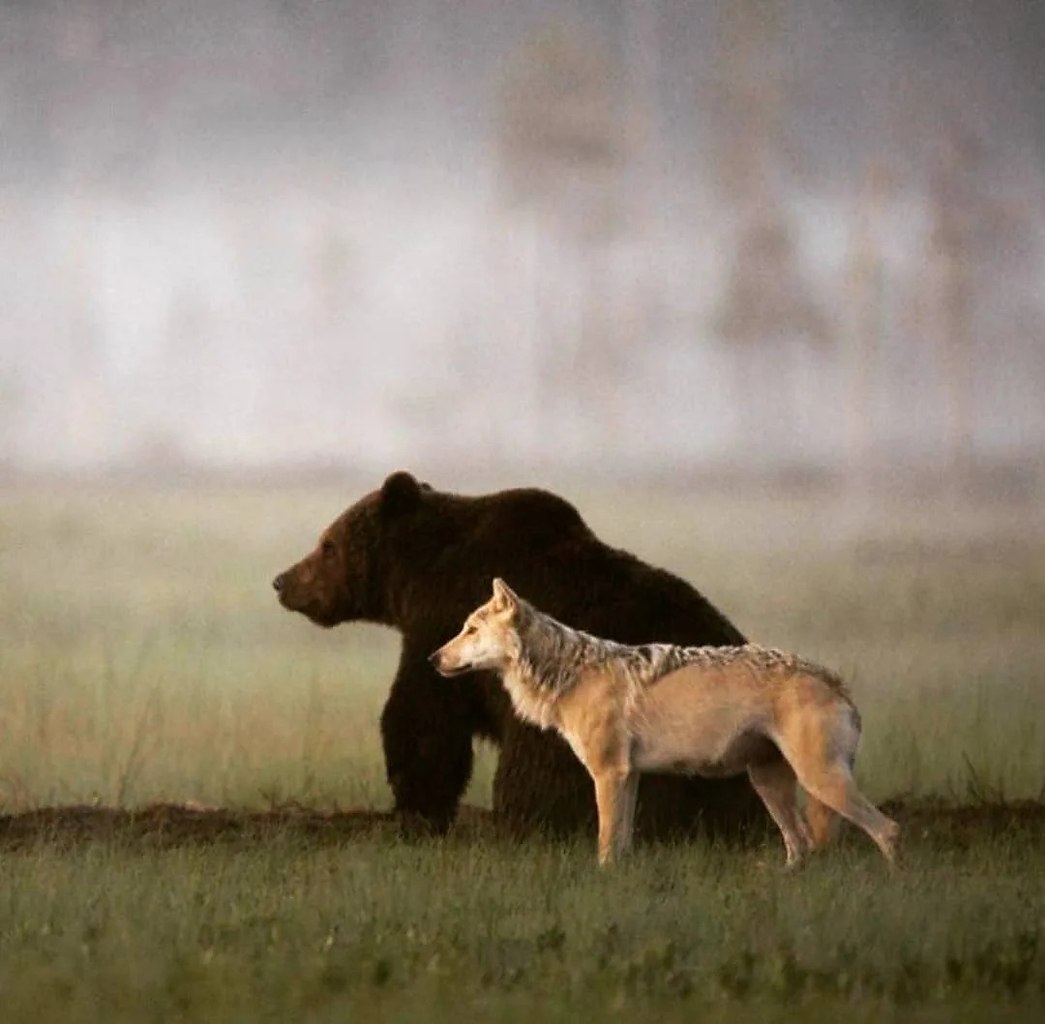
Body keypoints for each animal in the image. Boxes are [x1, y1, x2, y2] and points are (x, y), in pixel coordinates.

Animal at [271, 472, 760, 840]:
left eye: (328, 544)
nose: (282, 580)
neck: (418, 574)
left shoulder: (442, 621)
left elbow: (424, 717)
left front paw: (415, 809)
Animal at [428, 580, 902, 869]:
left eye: (470, 630)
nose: (432, 659)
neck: (568, 673)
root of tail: (836, 681)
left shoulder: (609, 773)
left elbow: (606, 841)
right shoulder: (629, 776)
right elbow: (621, 841)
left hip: (819, 781)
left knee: (887, 829)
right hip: (770, 784)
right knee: (801, 846)